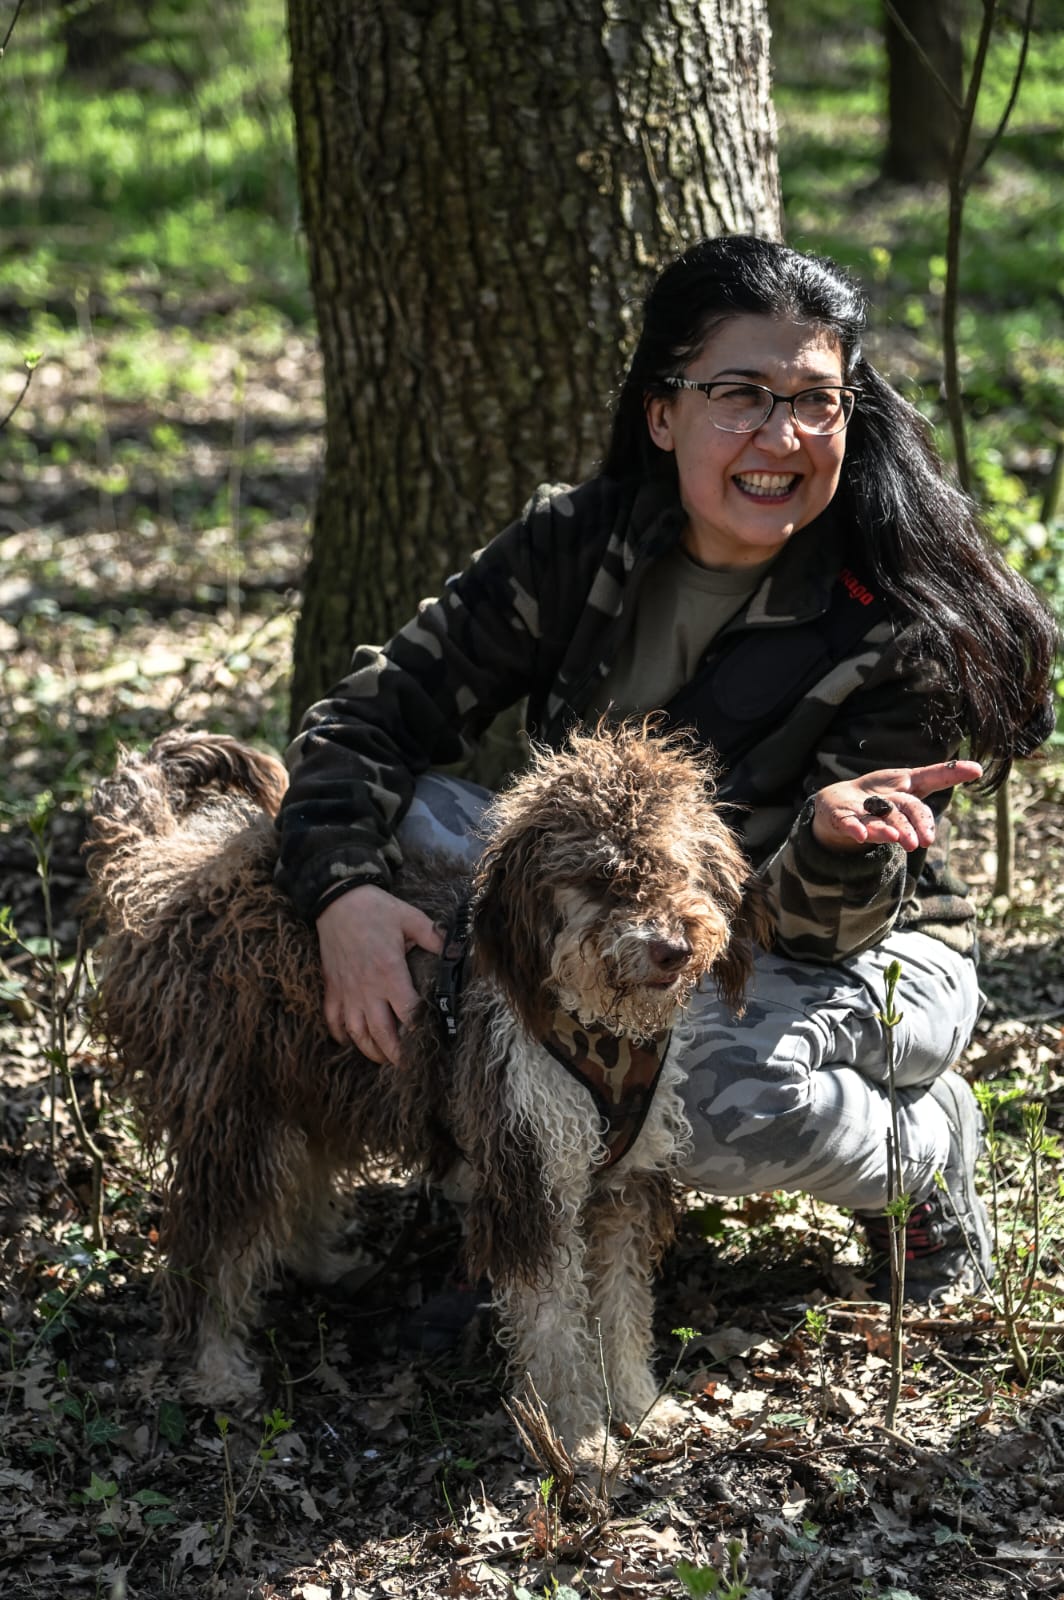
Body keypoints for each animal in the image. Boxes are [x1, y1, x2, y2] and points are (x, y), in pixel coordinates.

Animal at [87, 726, 768, 1465]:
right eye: (601, 877)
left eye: (682, 867)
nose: (674, 948)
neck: (589, 1023)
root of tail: (169, 868)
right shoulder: (529, 1178)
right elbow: (555, 1329)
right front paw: (577, 1439)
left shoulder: (625, 1182)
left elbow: (620, 1308)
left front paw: (639, 1405)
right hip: (236, 1116)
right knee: (211, 1247)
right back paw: (216, 1367)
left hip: (313, 1085)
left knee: (297, 1184)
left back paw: (323, 1260)